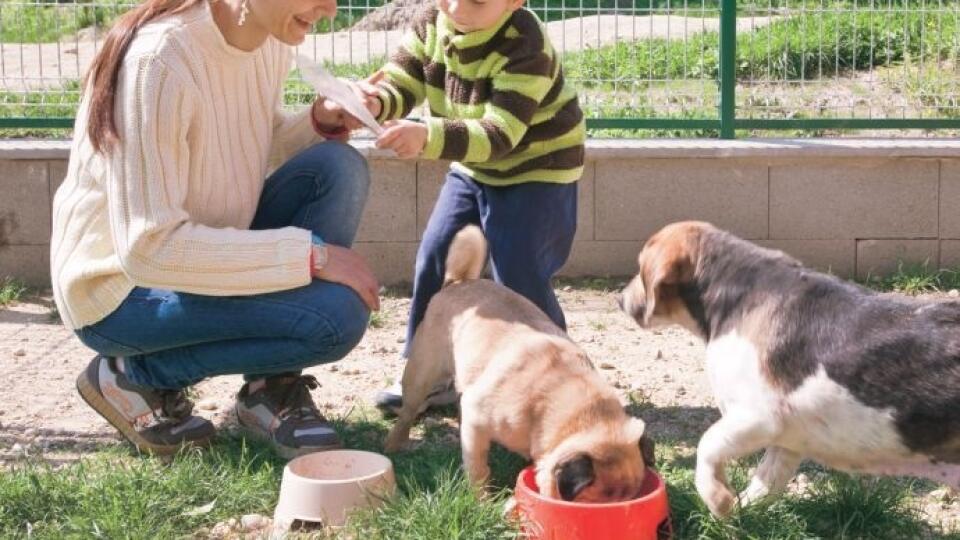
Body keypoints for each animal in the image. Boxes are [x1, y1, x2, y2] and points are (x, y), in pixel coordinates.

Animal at [386, 225, 656, 502]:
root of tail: (459, 282)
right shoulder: (477, 421)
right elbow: (478, 466)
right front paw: (481, 499)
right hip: (422, 374)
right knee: (407, 413)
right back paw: (393, 444)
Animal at [620, 221, 956, 516]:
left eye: (640, 268)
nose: (619, 298)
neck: (737, 294)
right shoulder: (788, 440)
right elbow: (765, 483)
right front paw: (739, 512)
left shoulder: (758, 418)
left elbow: (708, 446)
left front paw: (719, 502)